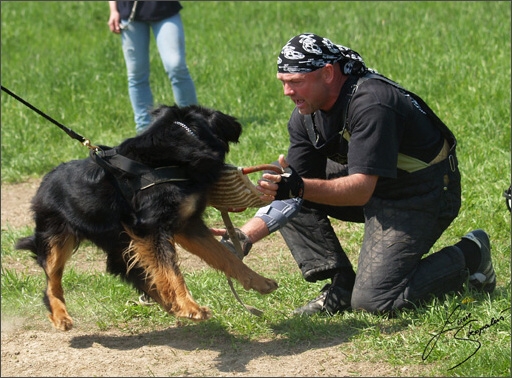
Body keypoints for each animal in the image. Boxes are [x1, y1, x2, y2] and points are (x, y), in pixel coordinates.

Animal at [16, 104, 278, 330]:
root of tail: (43, 184)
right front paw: (189, 306)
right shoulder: (150, 228)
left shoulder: (187, 225)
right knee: (52, 282)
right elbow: (171, 270)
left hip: (116, 241)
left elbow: (225, 256)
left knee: (127, 269)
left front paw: (258, 281)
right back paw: (60, 316)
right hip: (57, 239)